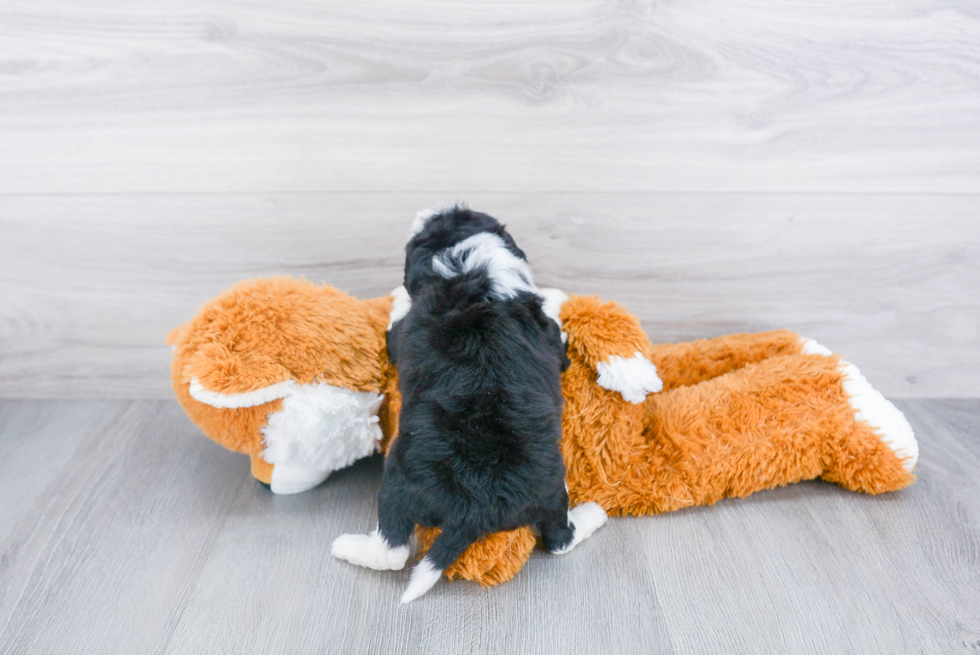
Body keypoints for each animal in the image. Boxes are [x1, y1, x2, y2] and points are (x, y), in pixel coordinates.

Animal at [334, 205, 608, 604]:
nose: (430, 210)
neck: (466, 267)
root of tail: (473, 508)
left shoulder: (401, 334)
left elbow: (398, 317)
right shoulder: (551, 338)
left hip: (401, 482)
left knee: (394, 549)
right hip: (545, 490)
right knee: (558, 539)